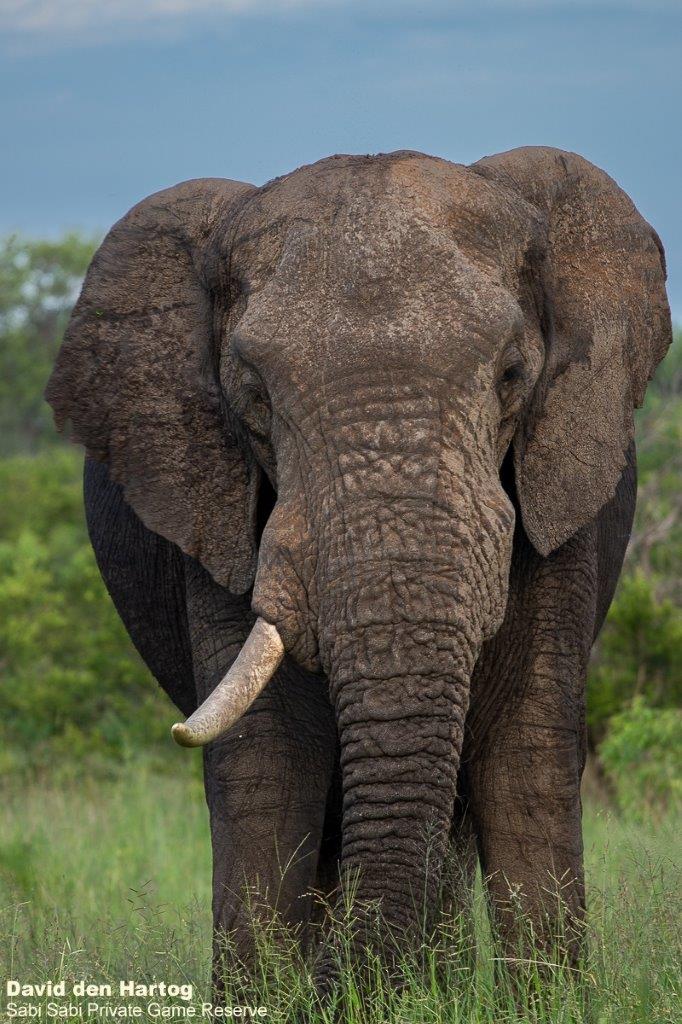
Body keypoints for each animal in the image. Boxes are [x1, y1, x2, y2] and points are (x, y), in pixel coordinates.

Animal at [46, 147, 671, 991]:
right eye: (252, 394)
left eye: (512, 376)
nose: (333, 985)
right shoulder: (217, 504)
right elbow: (270, 766)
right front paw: (266, 995)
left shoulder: (561, 489)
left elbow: (527, 749)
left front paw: (547, 999)